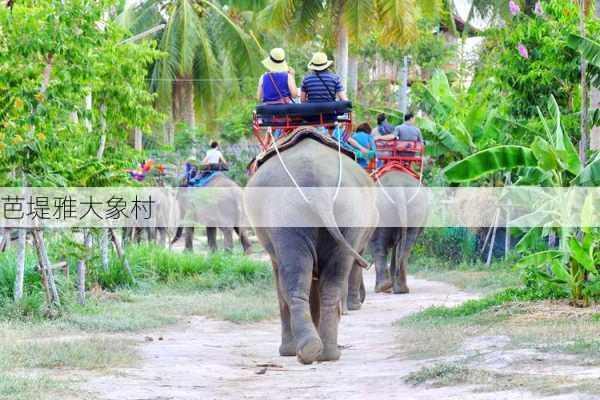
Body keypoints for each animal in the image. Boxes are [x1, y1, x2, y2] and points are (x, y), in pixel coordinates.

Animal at [243, 129, 376, 366]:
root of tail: (318, 190)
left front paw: (287, 352)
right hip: (347, 215)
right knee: (332, 279)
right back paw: (325, 353)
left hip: (287, 216)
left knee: (293, 279)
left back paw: (302, 351)